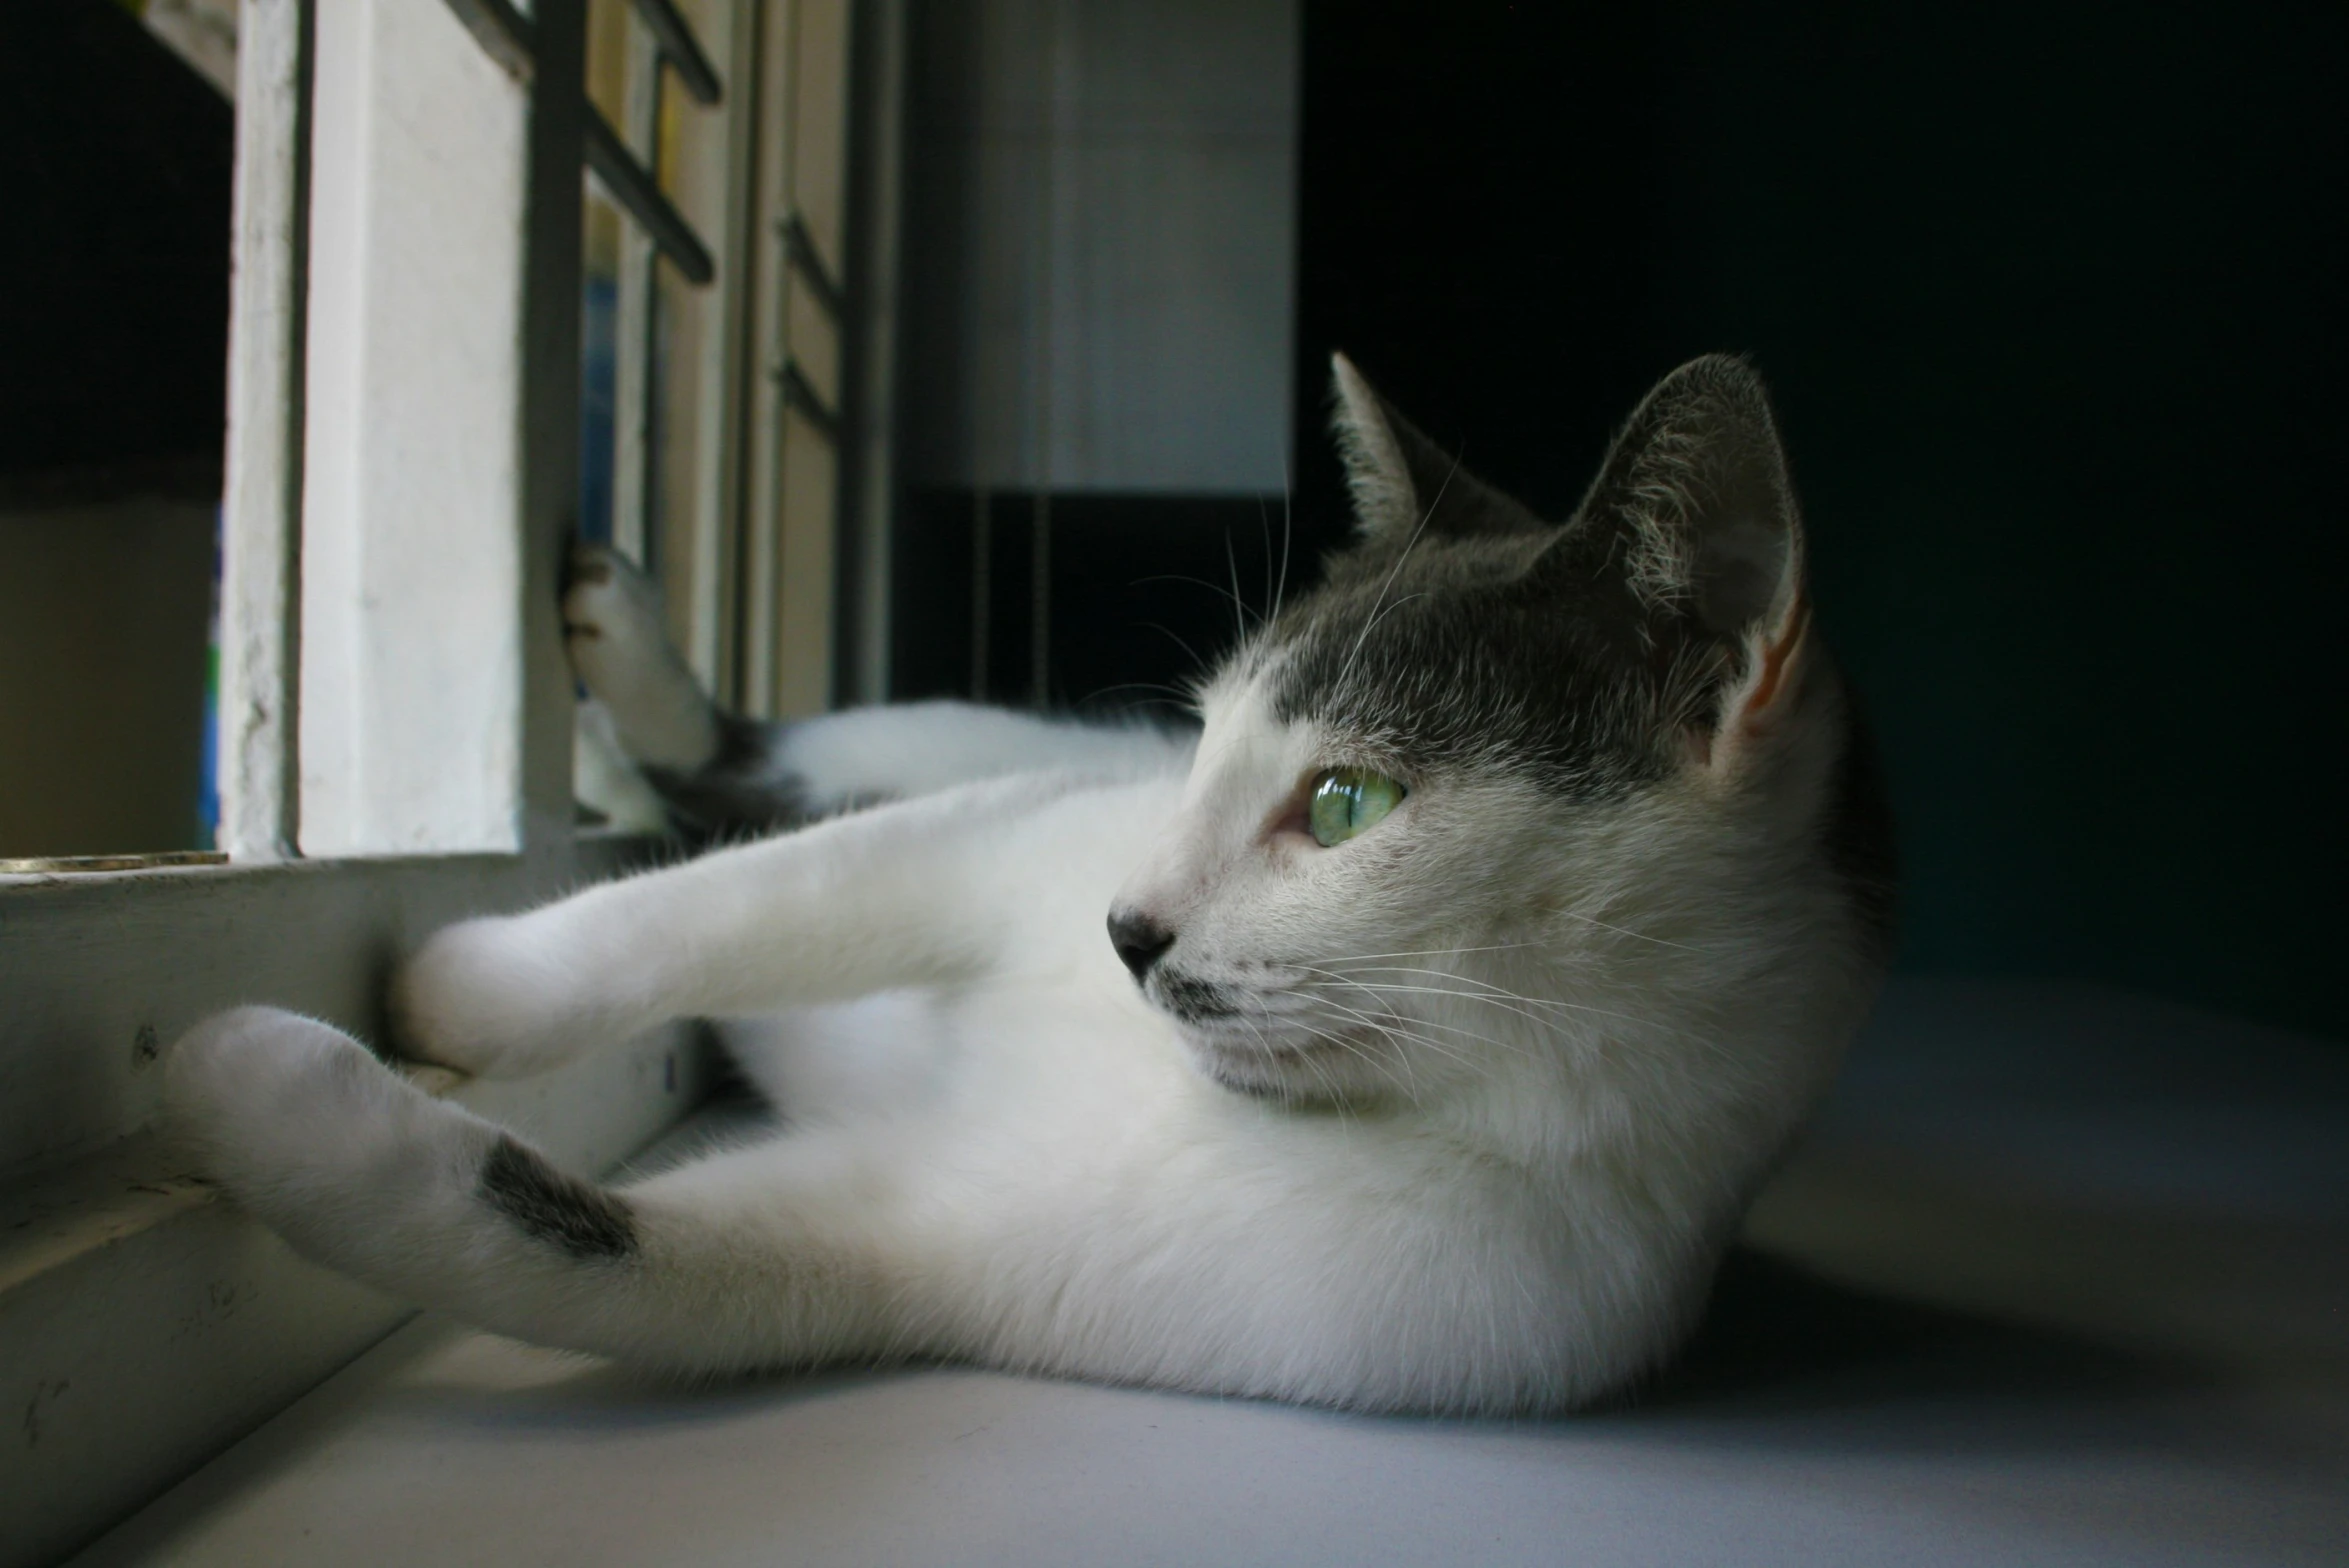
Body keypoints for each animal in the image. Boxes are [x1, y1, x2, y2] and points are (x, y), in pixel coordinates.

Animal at [160, 359, 1888, 1417]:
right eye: (1202, 745)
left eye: (1346, 803)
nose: (1123, 929)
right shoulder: (998, 838)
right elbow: (749, 899)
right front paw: (465, 984)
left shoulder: (977, 1249)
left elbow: (611, 1252)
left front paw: (253, 1093)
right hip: (957, 740)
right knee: (755, 781)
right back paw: (622, 666)